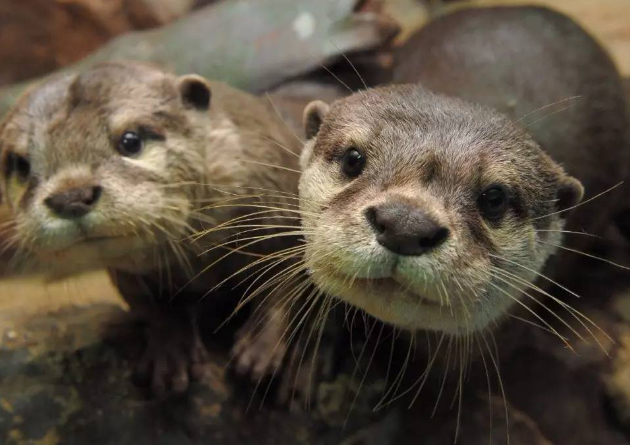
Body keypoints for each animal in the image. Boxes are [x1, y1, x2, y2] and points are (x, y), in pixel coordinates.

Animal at [0, 60, 304, 394]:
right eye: (21, 164)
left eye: (130, 140)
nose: (72, 196)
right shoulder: (127, 275)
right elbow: (155, 305)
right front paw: (172, 353)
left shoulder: (282, 210)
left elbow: (280, 285)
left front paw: (259, 349)